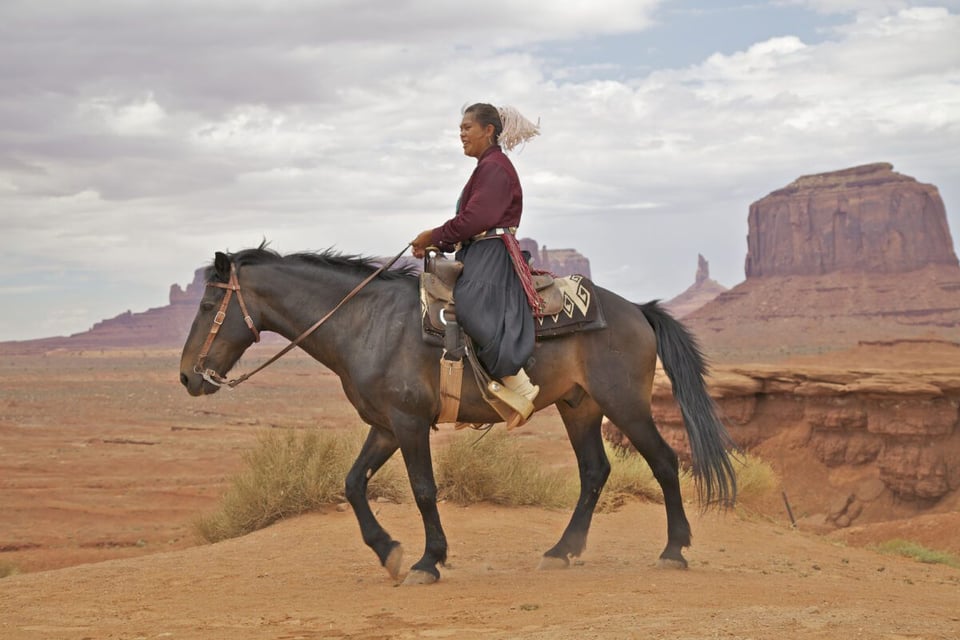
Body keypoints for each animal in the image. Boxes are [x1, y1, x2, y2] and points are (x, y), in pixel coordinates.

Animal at [179, 246, 737, 585]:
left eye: (207, 306)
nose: (187, 377)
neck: (365, 323)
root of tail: (638, 309)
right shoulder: (385, 426)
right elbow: (353, 484)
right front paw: (388, 551)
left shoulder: (408, 423)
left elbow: (424, 490)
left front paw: (428, 560)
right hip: (579, 407)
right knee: (594, 471)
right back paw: (562, 549)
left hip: (625, 404)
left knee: (664, 462)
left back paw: (673, 551)